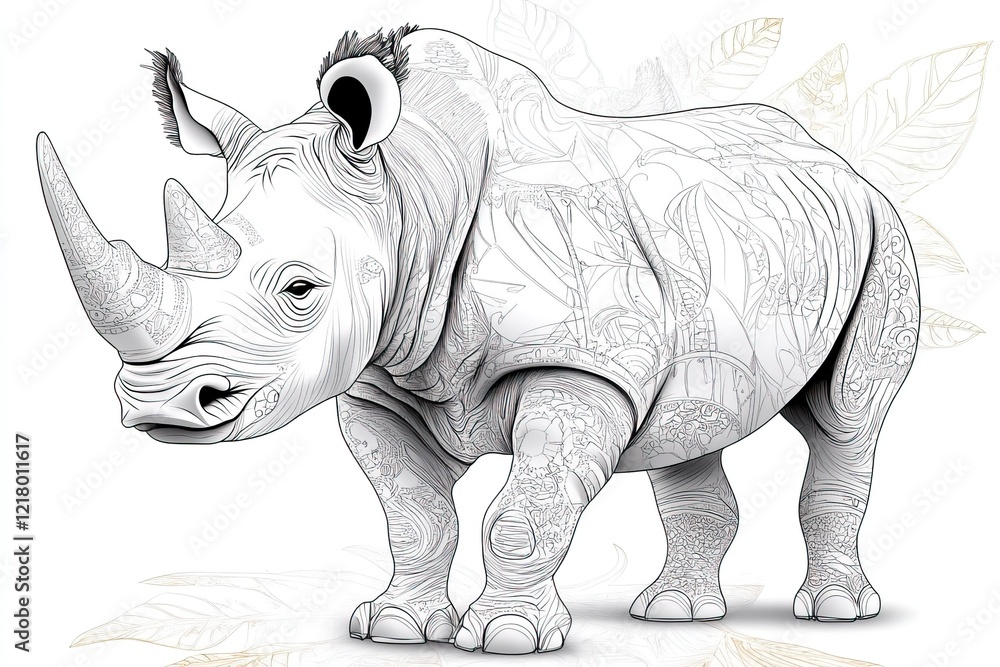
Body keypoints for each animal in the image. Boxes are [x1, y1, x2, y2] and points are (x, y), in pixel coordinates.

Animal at [37, 25, 920, 655]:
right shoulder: (381, 377)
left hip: (883, 232)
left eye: (300, 290)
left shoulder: (581, 366)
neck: (409, 189)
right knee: (691, 424)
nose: (159, 405)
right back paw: (673, 614)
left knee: (847, 417)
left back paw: (834, 612)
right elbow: (415, 513)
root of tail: (834, 158)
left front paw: (506, 638)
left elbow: (521, 512)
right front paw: (396, 627)